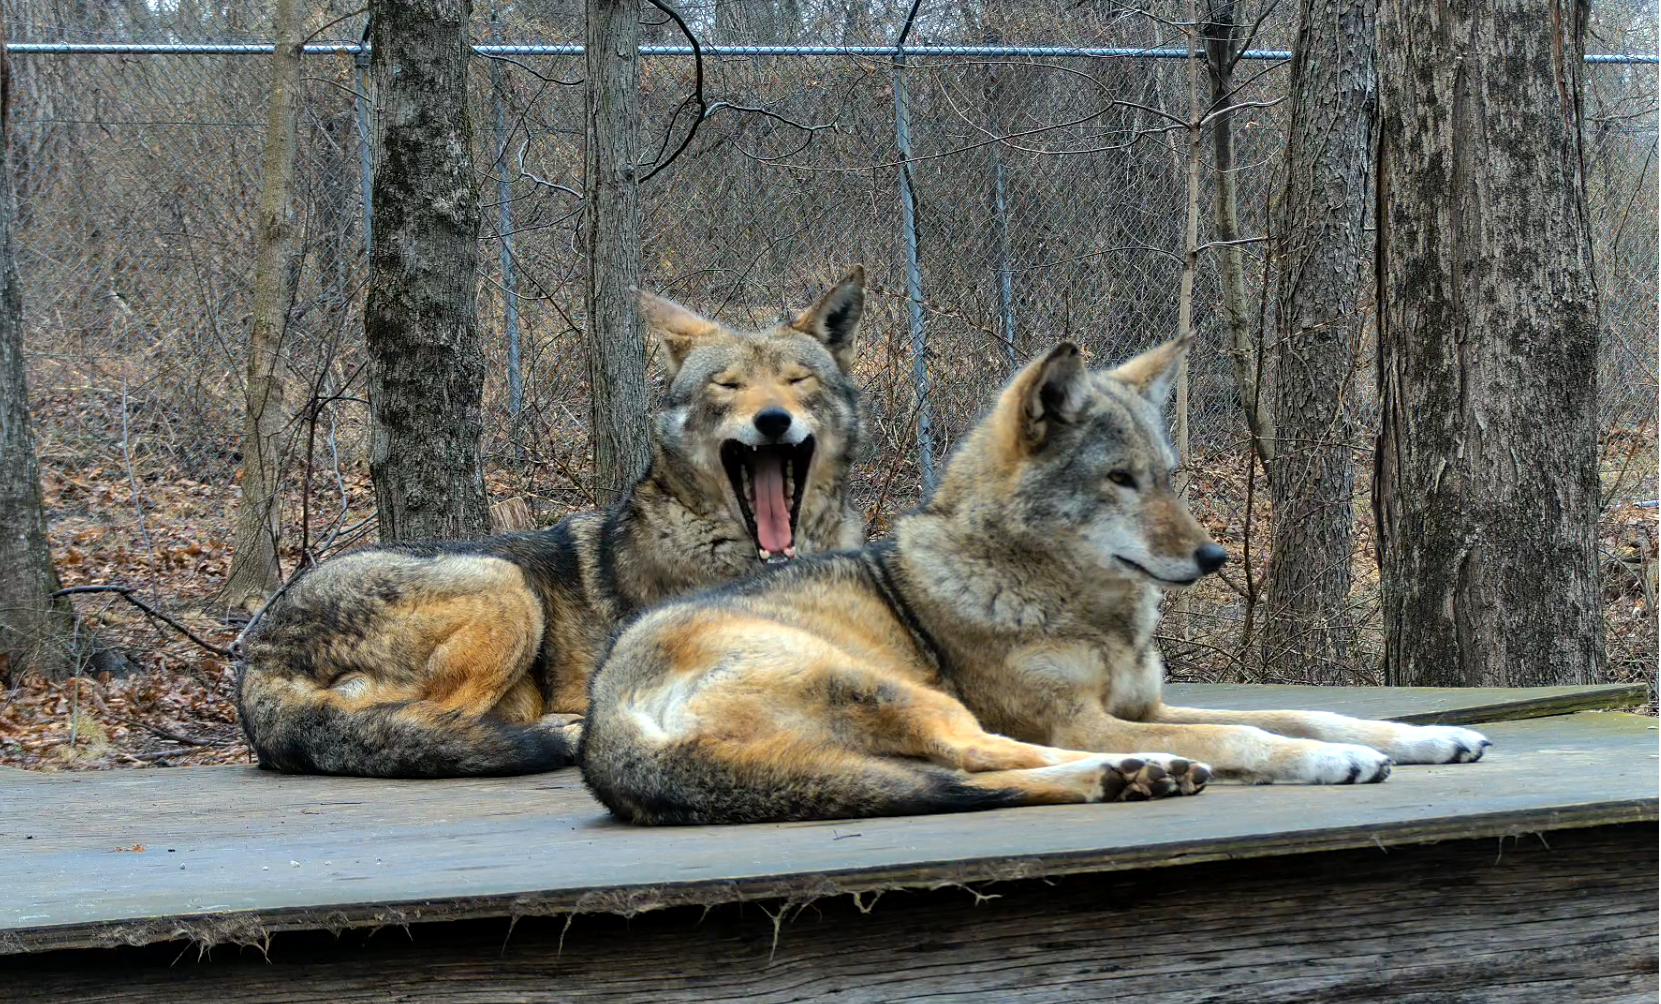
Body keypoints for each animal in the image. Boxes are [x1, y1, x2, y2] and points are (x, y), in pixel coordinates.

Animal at [236, 269, 868, 778]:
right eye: (728, 385)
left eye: (798, 381)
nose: (772, 419)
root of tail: (256, 653)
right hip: (503, 584)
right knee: (435, 721)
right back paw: (559, 732)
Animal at [580, 336, 1491, 823]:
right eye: (1118, 480)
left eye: (1167, 478)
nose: (1214, 560)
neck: (1089, 616)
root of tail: (606, 727)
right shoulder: (1086, 717)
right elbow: (1247, 736)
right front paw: (1334, 760)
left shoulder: (1146, 706)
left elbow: (1305, 710)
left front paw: (1425, 739)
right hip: (904, 693)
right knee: (983, 757)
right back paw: (1144, 771)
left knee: (968, 777)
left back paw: (1136, 777)